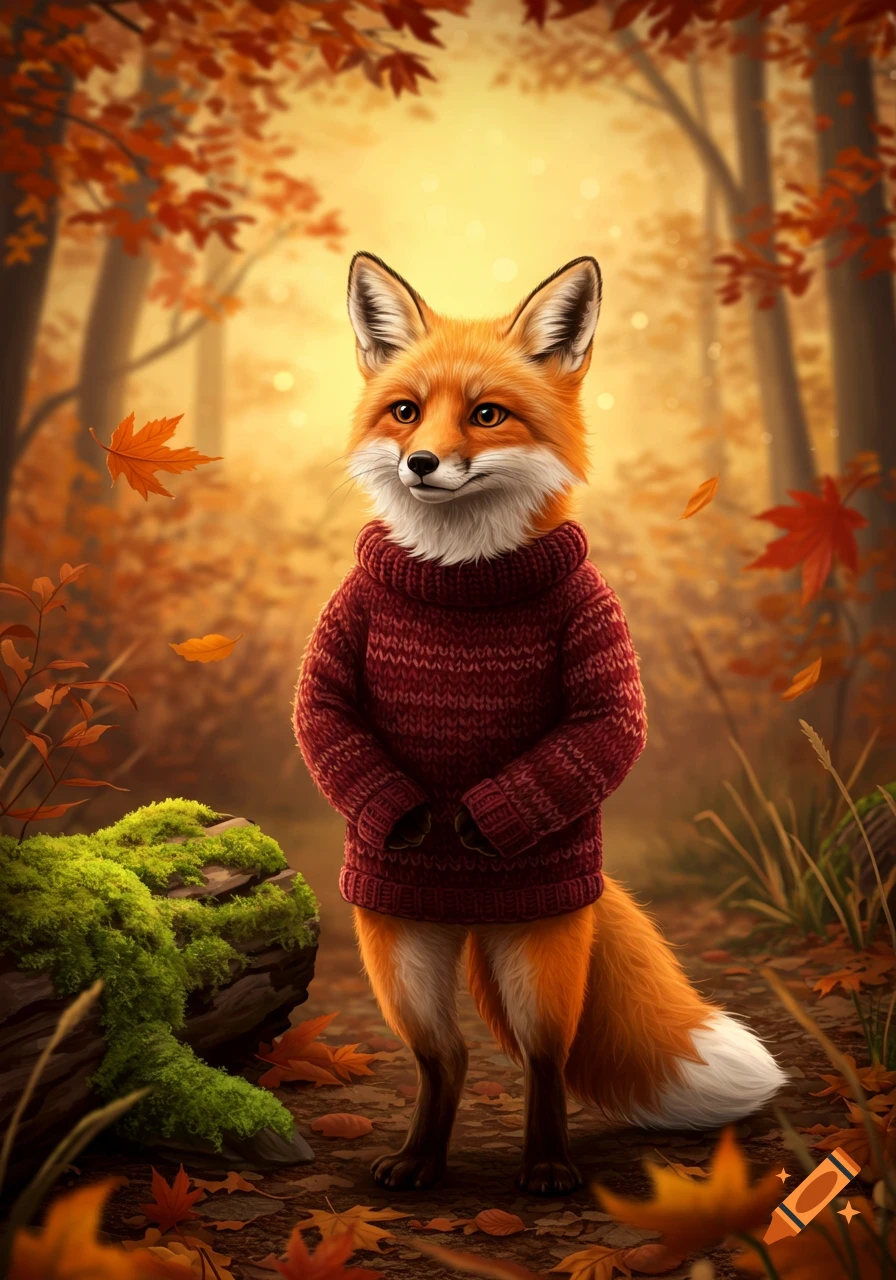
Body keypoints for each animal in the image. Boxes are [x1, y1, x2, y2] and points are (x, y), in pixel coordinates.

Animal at [293, 251, 785, 1197]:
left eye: (487, 415)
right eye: (406, 411)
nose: (421, 462)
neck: (462, 577)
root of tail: (476, 923)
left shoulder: (595, 638)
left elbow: (606, 726)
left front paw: (468, 822)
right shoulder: (343, 631)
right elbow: (324, 715)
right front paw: (420, 817)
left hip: (539, 955)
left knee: (541, 1061)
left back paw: (549, 1166)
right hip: (400, 957)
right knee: (444, 1060)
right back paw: (420, 1160)